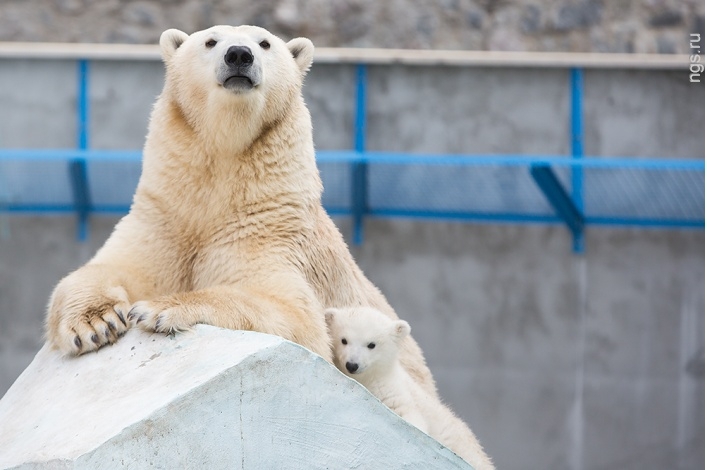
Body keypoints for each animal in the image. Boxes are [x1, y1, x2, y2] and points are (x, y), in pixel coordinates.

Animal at [45, 23, 436, 396]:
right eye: (210, 41)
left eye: (264, 43)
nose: (238, 55)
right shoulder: (166, 217)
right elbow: (113, 268)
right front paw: (96, 322)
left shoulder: (272, 231)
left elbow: (293, 314)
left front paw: (160, 309)